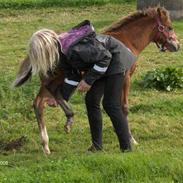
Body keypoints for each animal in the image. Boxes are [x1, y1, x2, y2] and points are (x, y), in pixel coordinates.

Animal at [12, 6, 179, 154]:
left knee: (40, 103)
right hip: (57, 78)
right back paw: (66, 121)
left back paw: (46, 145)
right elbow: (123, 108)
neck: (128, 41)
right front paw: (131, 139)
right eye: (169, 27)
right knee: (47, 96)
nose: (177, 45)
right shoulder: (125, 77)